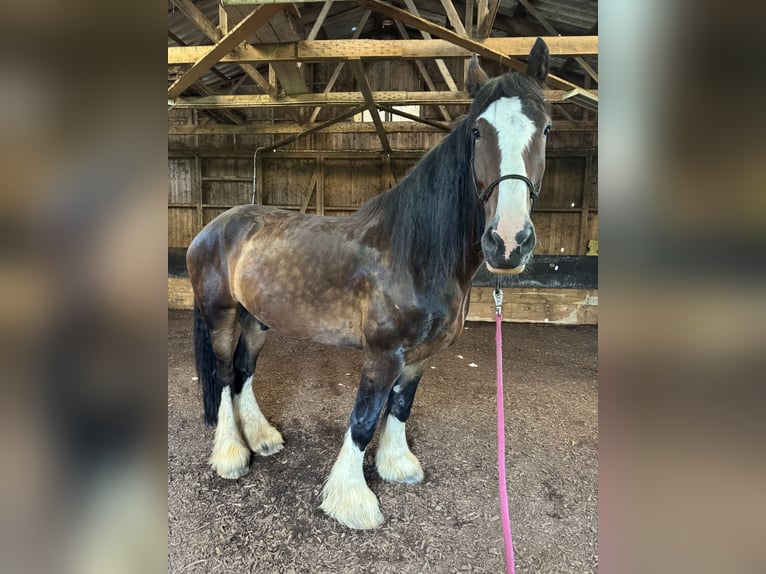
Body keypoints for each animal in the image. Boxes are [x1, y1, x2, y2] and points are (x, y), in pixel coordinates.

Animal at [186, 38, 552, 530]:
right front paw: (353, 500)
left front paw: (397, 465)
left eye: (546, 129)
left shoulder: (420, 356)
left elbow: (399, 407)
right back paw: (230, 455)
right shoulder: (382, 354)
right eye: (478, 132)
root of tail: (212, 228)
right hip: (221, 316)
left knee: (244, 372)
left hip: (256, 320)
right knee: (226, 375)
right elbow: (363, 418)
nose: (509, 241)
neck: (412, 253)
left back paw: (261, 438)